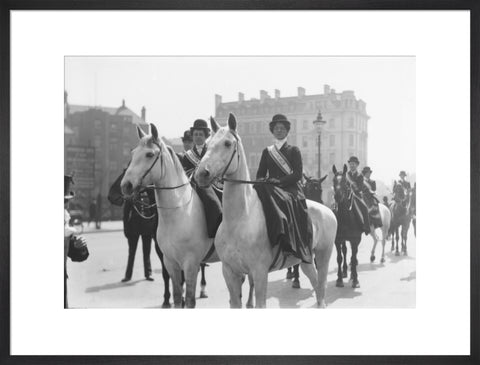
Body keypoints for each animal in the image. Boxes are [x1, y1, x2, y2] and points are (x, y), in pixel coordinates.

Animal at [121, 124, 218, 308]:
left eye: (149, 154)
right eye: (132, 153)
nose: (126, 185)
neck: (177, 213)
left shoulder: (191, 263)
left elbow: (189, 300)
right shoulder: (170, 262)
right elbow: (178, 296)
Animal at [195, 113, 338, 308]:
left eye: (227, 143)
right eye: (207, 144)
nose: (201, 174)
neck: (239, 220)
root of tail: (328, 210)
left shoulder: (259, 272)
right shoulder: (230, 272)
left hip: (324, 255)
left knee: (321, 286)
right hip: (306, 259)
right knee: (316, 284)